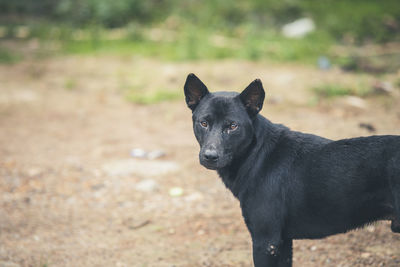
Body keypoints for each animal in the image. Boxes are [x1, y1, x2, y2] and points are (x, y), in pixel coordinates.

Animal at [184, 74, 400, 267]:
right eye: (204, 123)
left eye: (233, 126)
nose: (210, 156)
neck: (257, 154)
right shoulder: (283, 242)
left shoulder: (266, 241)